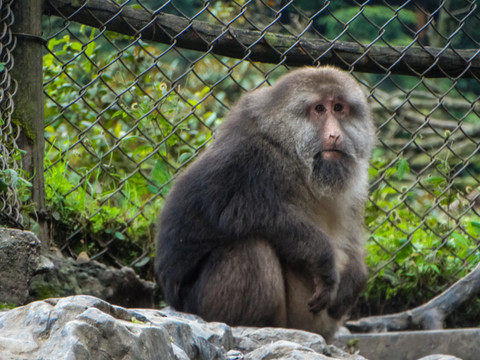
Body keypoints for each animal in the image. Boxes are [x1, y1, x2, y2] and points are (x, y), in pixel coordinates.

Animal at [154, 66, 376, 342]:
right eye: (319, 109)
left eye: (338, 107)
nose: (335, 134)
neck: (295, 158)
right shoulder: (249, 153)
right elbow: (221, 209)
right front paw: (323, 256)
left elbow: (352, 238)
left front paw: (356, 277)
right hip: (200, 306)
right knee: (251, 245)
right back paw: (250, 326)